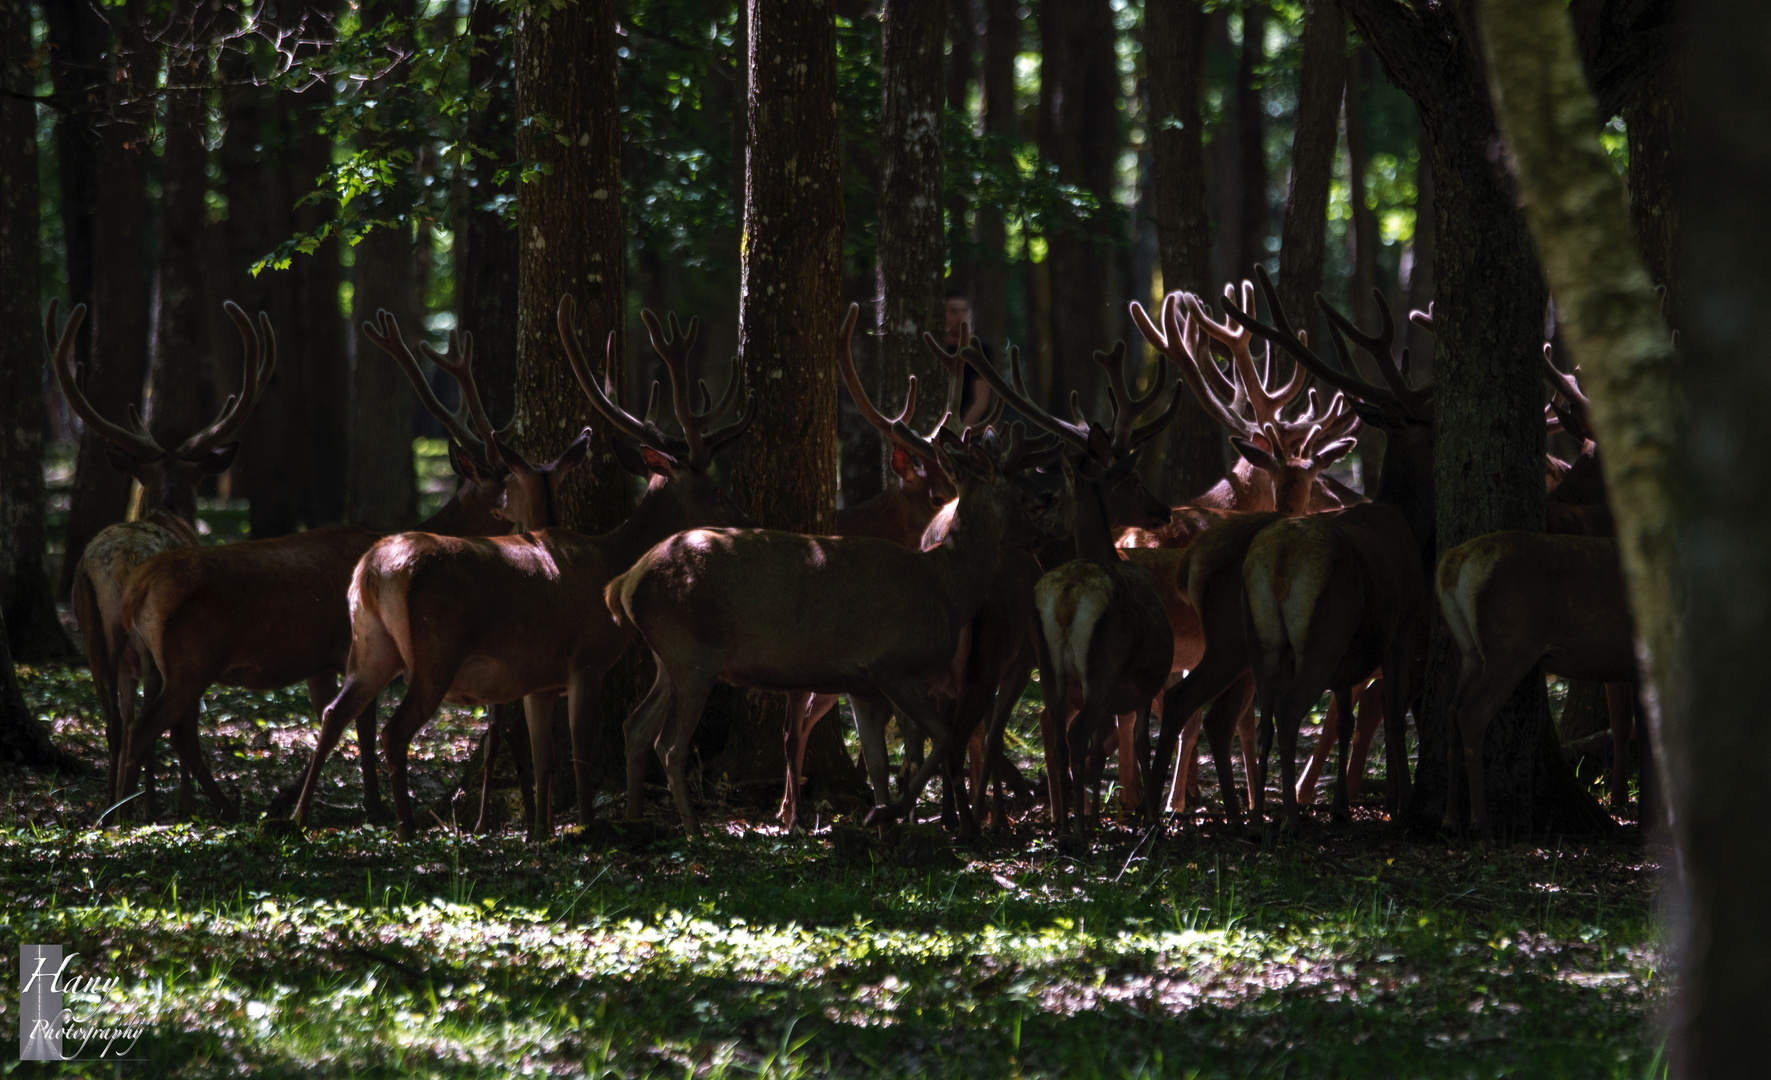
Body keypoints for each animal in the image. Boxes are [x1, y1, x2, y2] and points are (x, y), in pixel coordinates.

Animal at [44, 299, 274, 803]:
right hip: (150, 633)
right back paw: (142, 806)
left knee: (115, 723)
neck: (172, 516)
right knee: (151, 723)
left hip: (92, 628)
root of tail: (111, 563)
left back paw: (115, 807)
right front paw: (175, 803)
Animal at [285, 299, 754, 835]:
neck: (611, 565)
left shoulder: (539, 679)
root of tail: (373, 572)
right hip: (434, 651)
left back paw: (298, 816)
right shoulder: (585, 658)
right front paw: (586, 828)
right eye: (715, 489)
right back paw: (406, 827)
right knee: (394, 730)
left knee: (334, 712)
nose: (746, 521)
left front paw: (541, 832)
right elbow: (579, 752)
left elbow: (544, 756)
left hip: (370, 646)